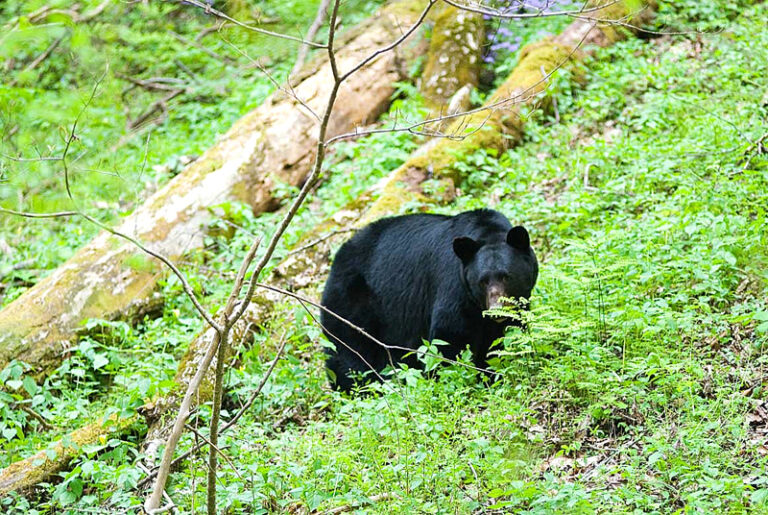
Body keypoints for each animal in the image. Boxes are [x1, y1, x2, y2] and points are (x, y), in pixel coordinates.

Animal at [320, 209, 536, 392]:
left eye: (506, 276)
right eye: (482, 281)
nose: (496, 310)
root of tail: (335, 262)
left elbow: (504, 337)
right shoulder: (454, 286)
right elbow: (450, 335)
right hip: (351, 301)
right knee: (349, 352)